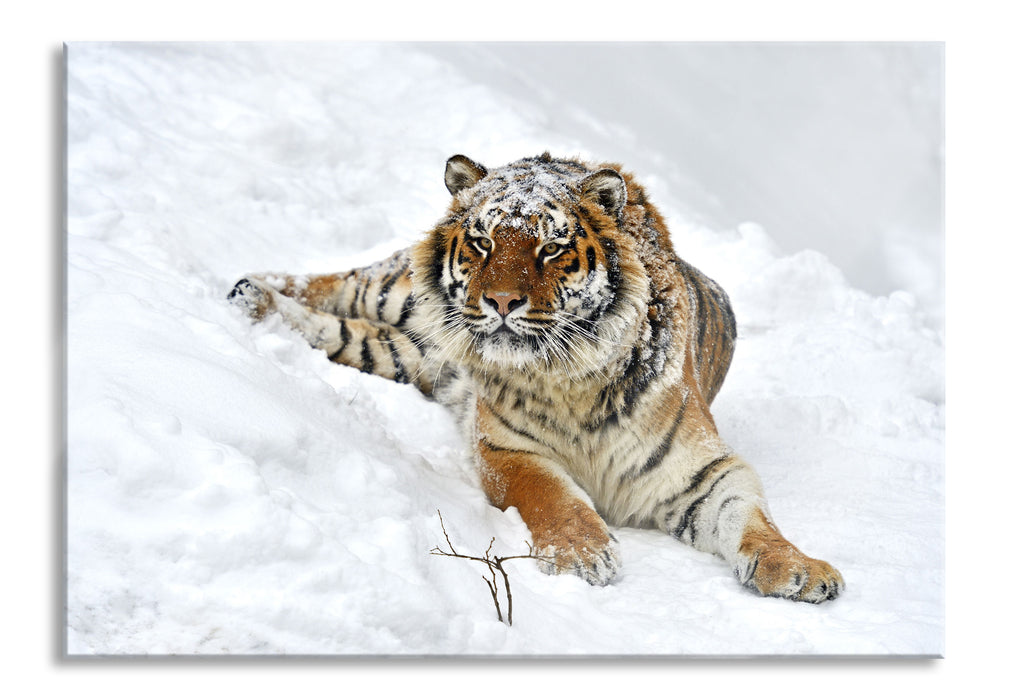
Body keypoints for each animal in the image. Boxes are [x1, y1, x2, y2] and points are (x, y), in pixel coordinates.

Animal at [228, 152, 844, 603]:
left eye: (551, 249)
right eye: (483, 242)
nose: (501, 301)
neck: (572, 380)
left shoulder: (702, 469)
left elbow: (751, 517)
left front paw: (801, 570)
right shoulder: (505, 449)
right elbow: (552, 494)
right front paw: (583, 555)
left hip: (406, 352)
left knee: (340, 330)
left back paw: (256, 303)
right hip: (393, 292)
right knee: (335, 283)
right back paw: (245, 288)